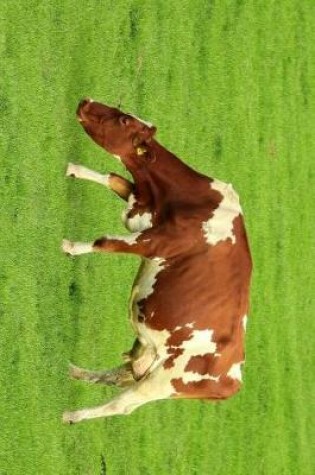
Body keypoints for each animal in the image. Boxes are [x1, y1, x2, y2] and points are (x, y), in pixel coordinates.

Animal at [62, 97, 254, 424]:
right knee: (118, 375)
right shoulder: (140, 208)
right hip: (149, 355)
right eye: (122, 110)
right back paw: (78, 373)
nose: (85, 101)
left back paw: (74, 415)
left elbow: (105, 241)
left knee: (121, 405)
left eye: (124, 121)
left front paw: (71, 247)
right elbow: (114, 178)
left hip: (165, 380)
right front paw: (75, 169)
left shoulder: (155, 242)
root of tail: (234, 377)